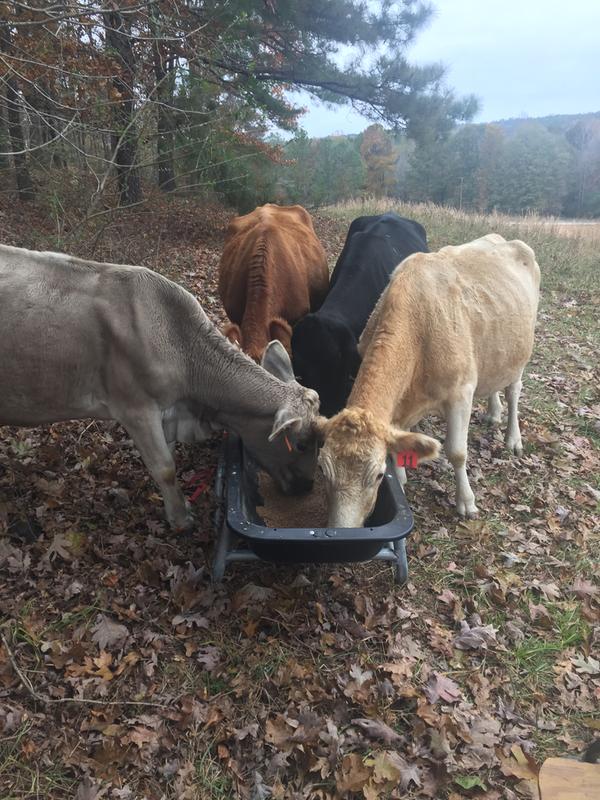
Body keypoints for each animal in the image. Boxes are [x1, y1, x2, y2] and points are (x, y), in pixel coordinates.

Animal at [317, 234, 540, 526]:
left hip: (521, 353)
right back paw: (493, 412)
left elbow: (457, 452)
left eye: (378, 476)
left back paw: (513, 439)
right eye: (323, 470)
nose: (342, 528)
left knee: (514, 391)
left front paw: (466, 501)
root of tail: (505, 239)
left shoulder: (461, 392)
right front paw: (401, 481)